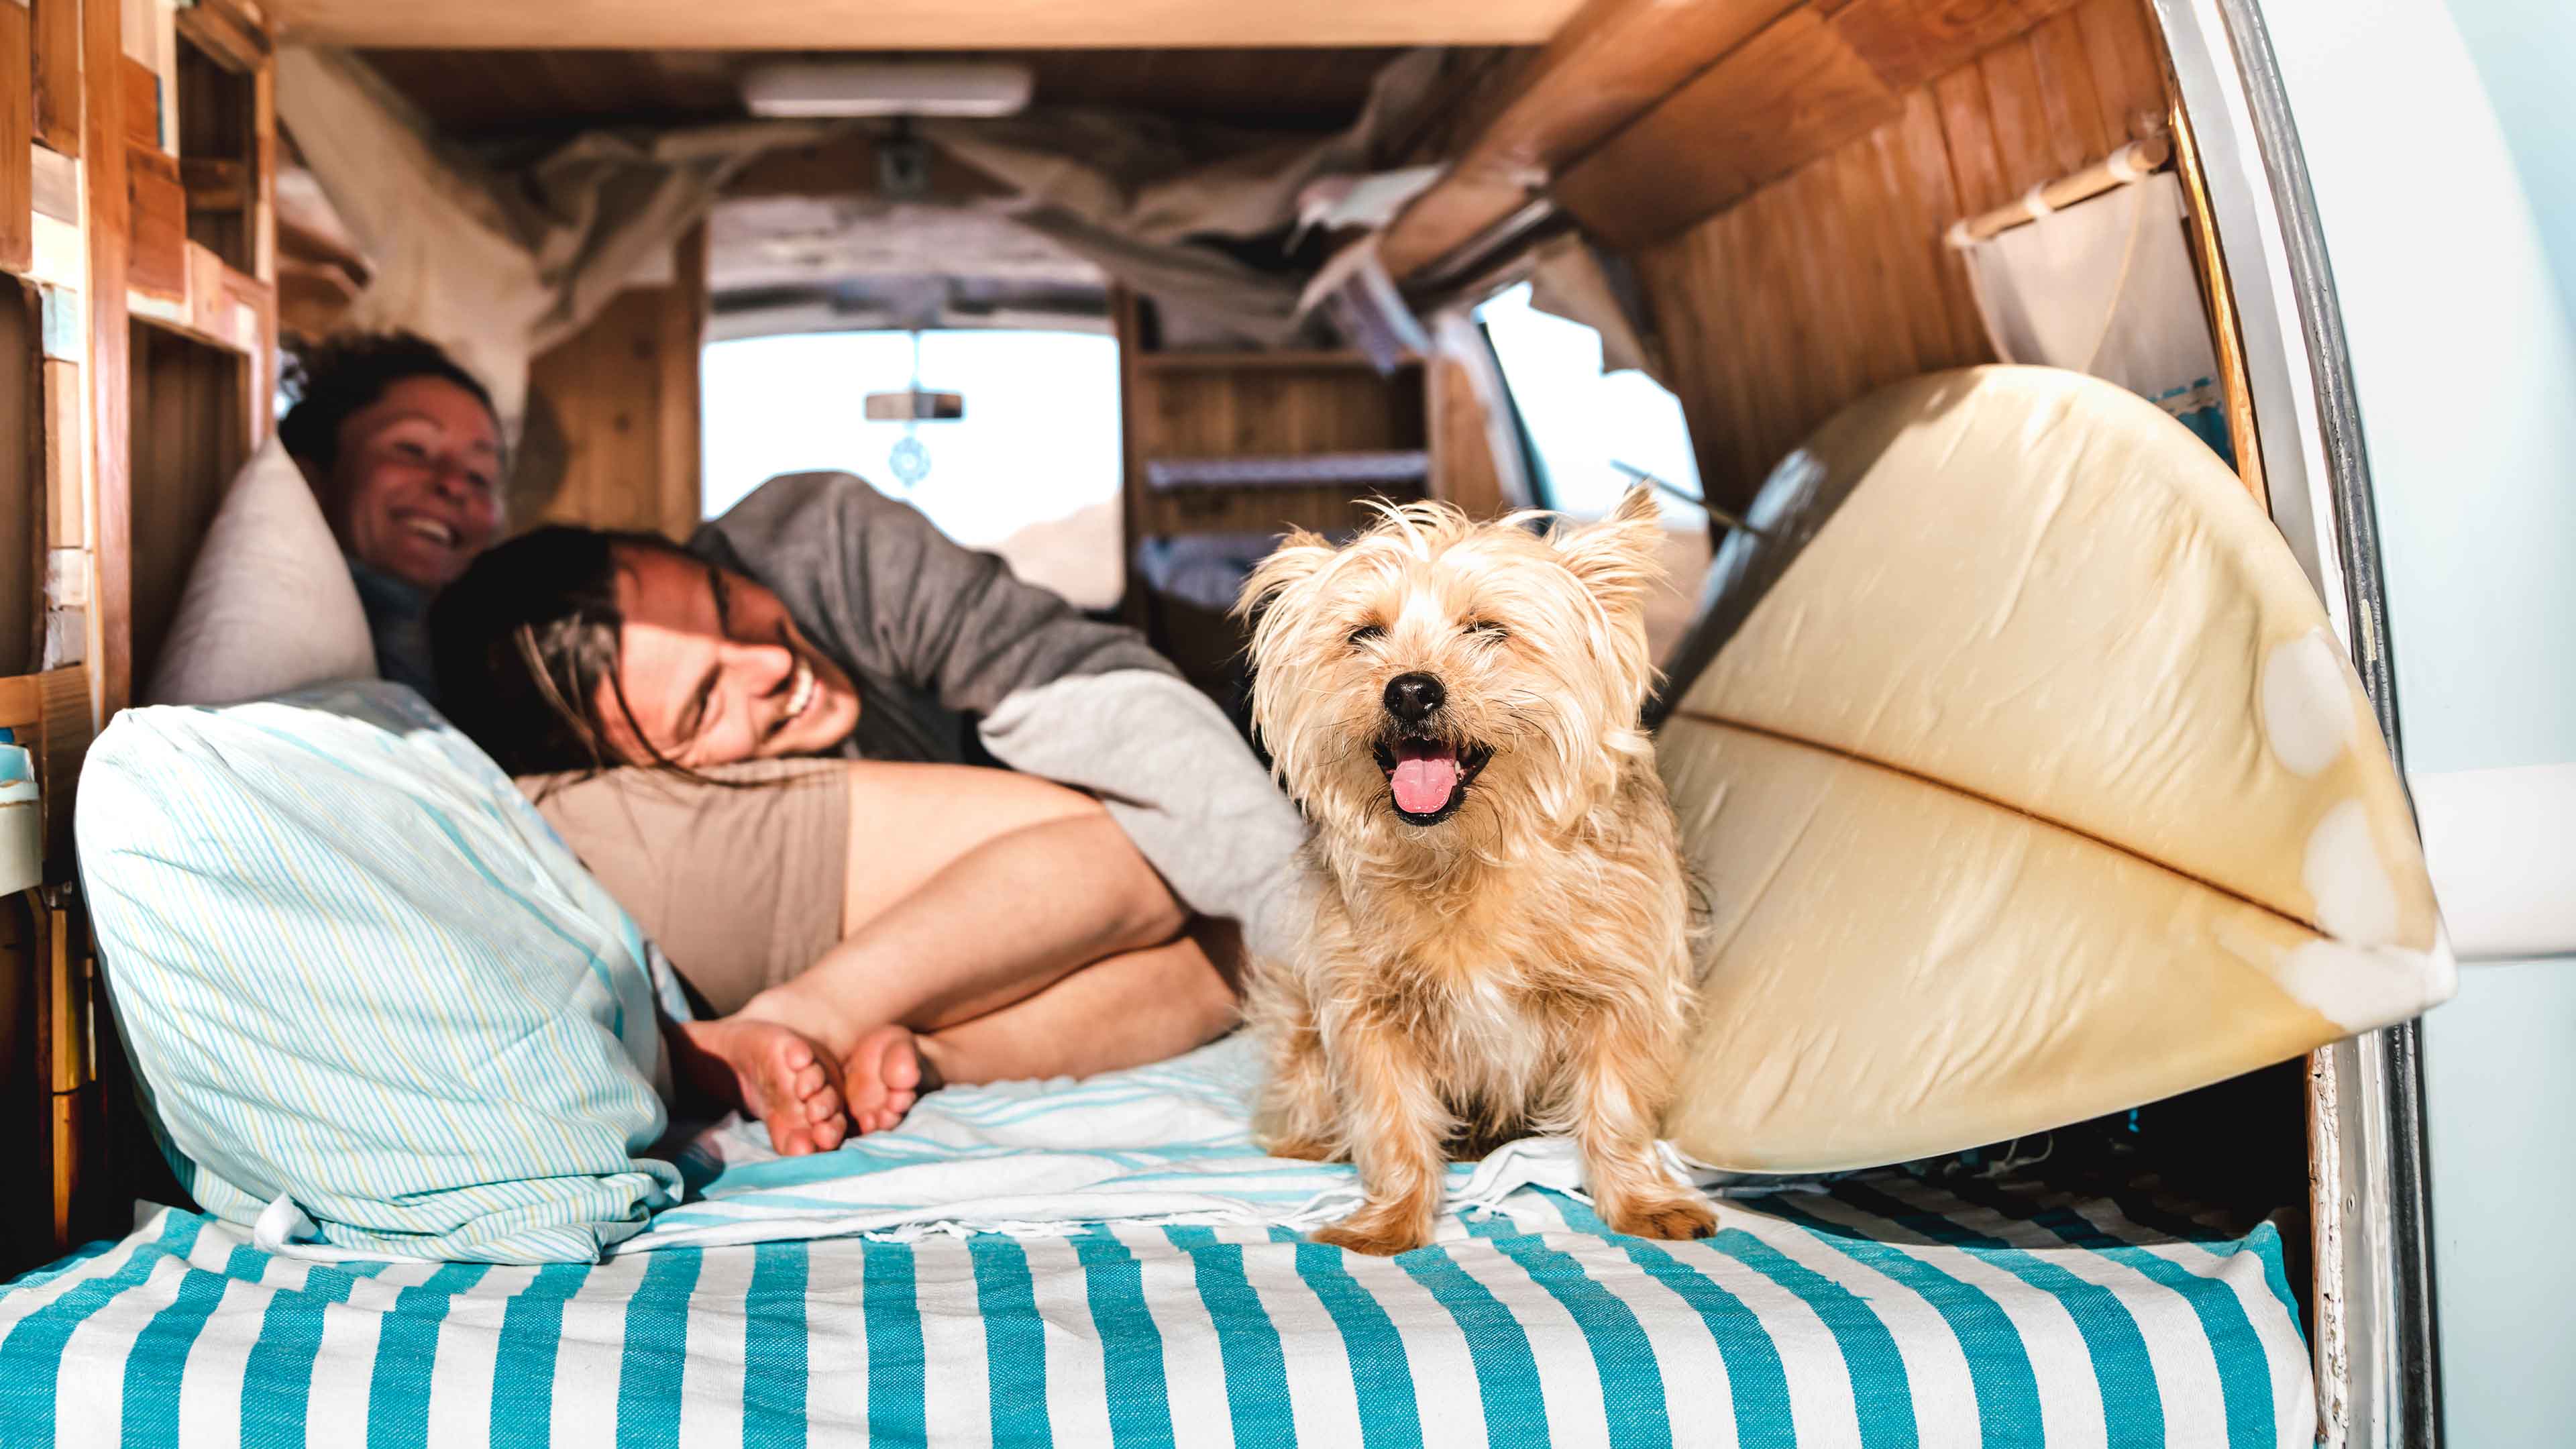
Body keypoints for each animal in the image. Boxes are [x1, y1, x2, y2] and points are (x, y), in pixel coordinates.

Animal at [1236, 487, 1721, 1252]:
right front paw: (1390, 1218)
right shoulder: (1369, 1008)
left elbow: (1616, 1110)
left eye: (1487, 629)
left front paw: (1641, 1200)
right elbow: (1391, 1122)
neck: (1466, 855)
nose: (1410, 691)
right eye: (1363, 635)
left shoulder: (1623, 994)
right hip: (1295, 1014)